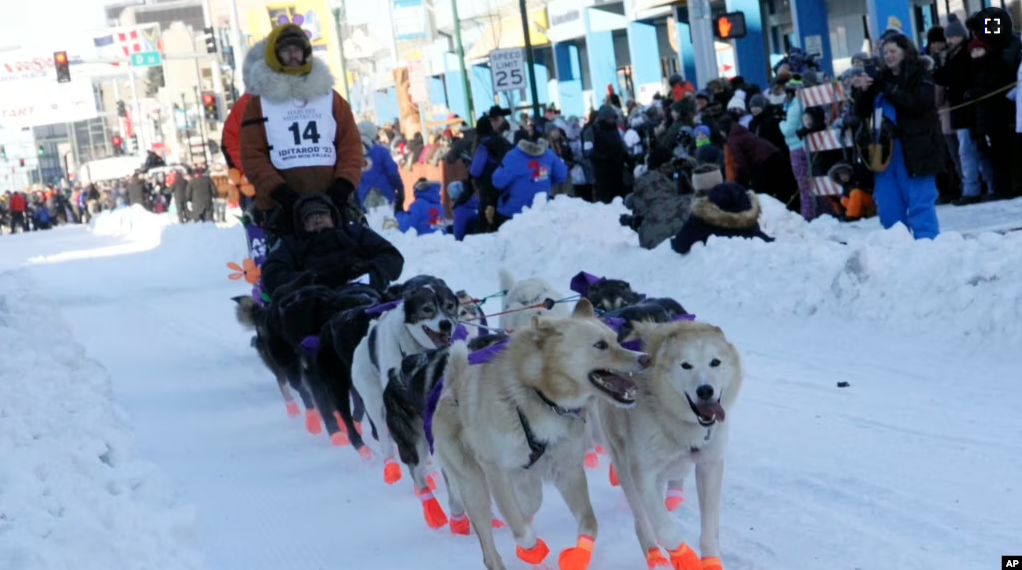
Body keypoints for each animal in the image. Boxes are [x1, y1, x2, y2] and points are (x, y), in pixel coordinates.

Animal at [429, 300, 645, 570]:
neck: (541, 396)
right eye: (600, 345)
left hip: (526, 482)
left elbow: (589, 523)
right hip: (474, 485)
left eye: (617, 340)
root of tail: (449, 388)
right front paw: (533, 551)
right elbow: (522, 532)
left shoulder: (568, 471)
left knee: (529, 504)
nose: (645, 358)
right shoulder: (494, 468)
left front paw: (577, 555)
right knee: (491, 547)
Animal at [592, 322, 744, 570]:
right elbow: (666, 530)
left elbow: (709, 530)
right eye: (686, 365)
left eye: (715, 362)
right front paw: (684, 557)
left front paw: (710, 561)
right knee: (642, 521)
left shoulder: (710, 465)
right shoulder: (642, 474)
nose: (705, 390)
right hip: (626, 471)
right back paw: (655, 557)